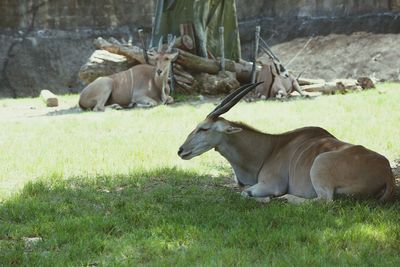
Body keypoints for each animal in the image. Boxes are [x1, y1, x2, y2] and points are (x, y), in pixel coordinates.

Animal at [179, 82, 396, 204]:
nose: (181, 150)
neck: (269, 148)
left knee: (325, 201)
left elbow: (245, 193)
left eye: (203, 128)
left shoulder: (270, 184)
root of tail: (387, 172)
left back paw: (286, 199)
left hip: (320, 163)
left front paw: (267, 199)